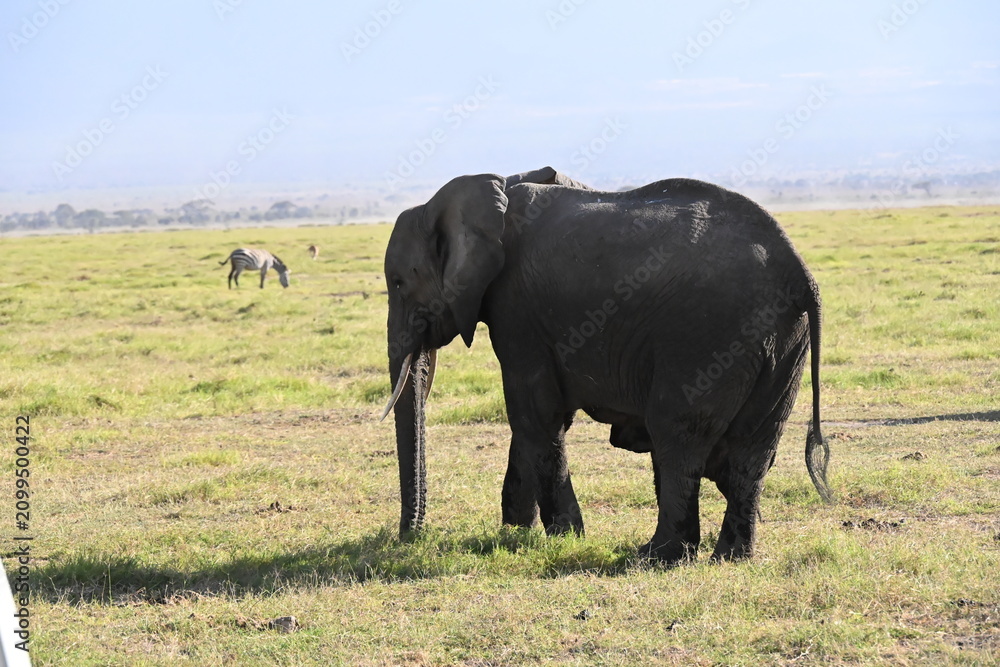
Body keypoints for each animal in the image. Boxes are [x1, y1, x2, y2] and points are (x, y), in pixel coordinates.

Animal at [381, 167, 832, 564]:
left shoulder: (517, 309)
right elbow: (541, 417)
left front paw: (562, 536)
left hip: (709, 337)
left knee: (677, 434)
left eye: (399, 283)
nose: (409, 536)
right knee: (751, 452)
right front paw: (516, 532)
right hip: (780, 343)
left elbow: (533, 412)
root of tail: (801, 275)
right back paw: (730, 557)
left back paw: (656, 557)